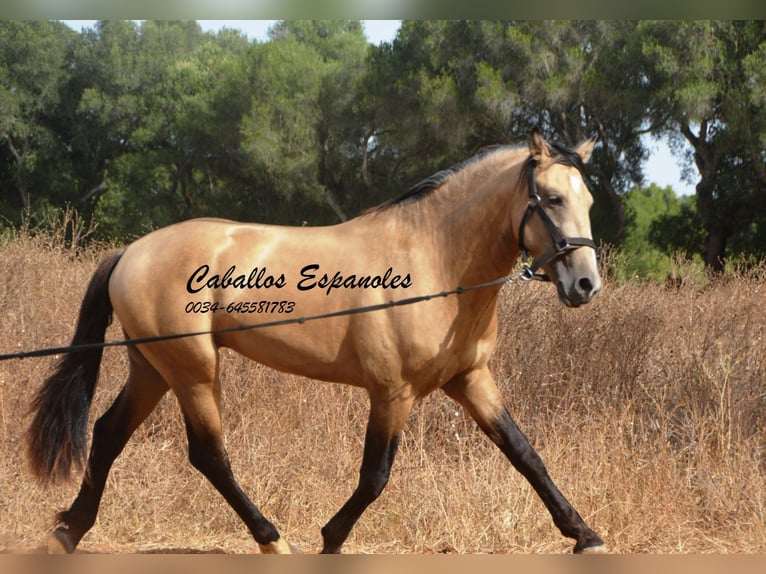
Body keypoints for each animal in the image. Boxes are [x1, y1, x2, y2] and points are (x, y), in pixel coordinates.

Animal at [27, 129, 608, 552]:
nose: (586, 284)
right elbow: (375, 476)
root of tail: (130, 251)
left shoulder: (470, 380)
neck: (433, 259)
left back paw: (67, 533)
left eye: (588, 199)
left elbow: (525, 454)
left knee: (107, 433)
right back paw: (272, 541)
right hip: (191, 370)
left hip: (152, 367)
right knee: (209, 454)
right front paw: (330, 540)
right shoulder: (392, 393)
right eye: (551, 197)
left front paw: (586, 537)